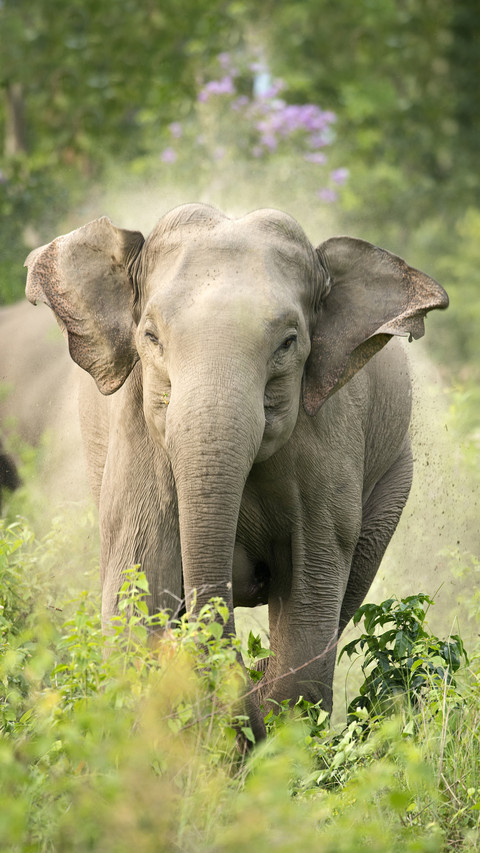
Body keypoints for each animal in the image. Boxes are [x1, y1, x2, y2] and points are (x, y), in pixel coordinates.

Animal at [24, 203, 448, 741]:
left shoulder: (328, 442)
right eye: (151, 337)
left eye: (288, 343)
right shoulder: (137, 430)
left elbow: (310, 601)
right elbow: (137, 592)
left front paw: (267, 737)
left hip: (393, 478)